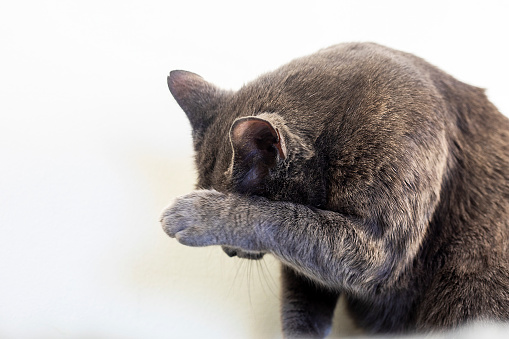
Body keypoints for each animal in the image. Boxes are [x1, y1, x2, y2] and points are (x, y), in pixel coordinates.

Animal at [159, 41, 508, 338]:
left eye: (217, 196)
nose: (228, 252)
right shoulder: (307, 272)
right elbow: (302, 297)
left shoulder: (378, 249)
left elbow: (282, 218)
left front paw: (192, 215)